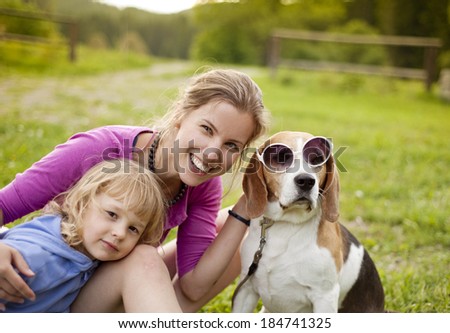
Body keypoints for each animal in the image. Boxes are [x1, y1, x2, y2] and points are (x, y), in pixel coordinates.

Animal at [234, 131, 384, 312]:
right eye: (280, 158)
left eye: (317, 158)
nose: (306, 181)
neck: (286, 226)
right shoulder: (246, 288)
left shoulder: (325, 296)